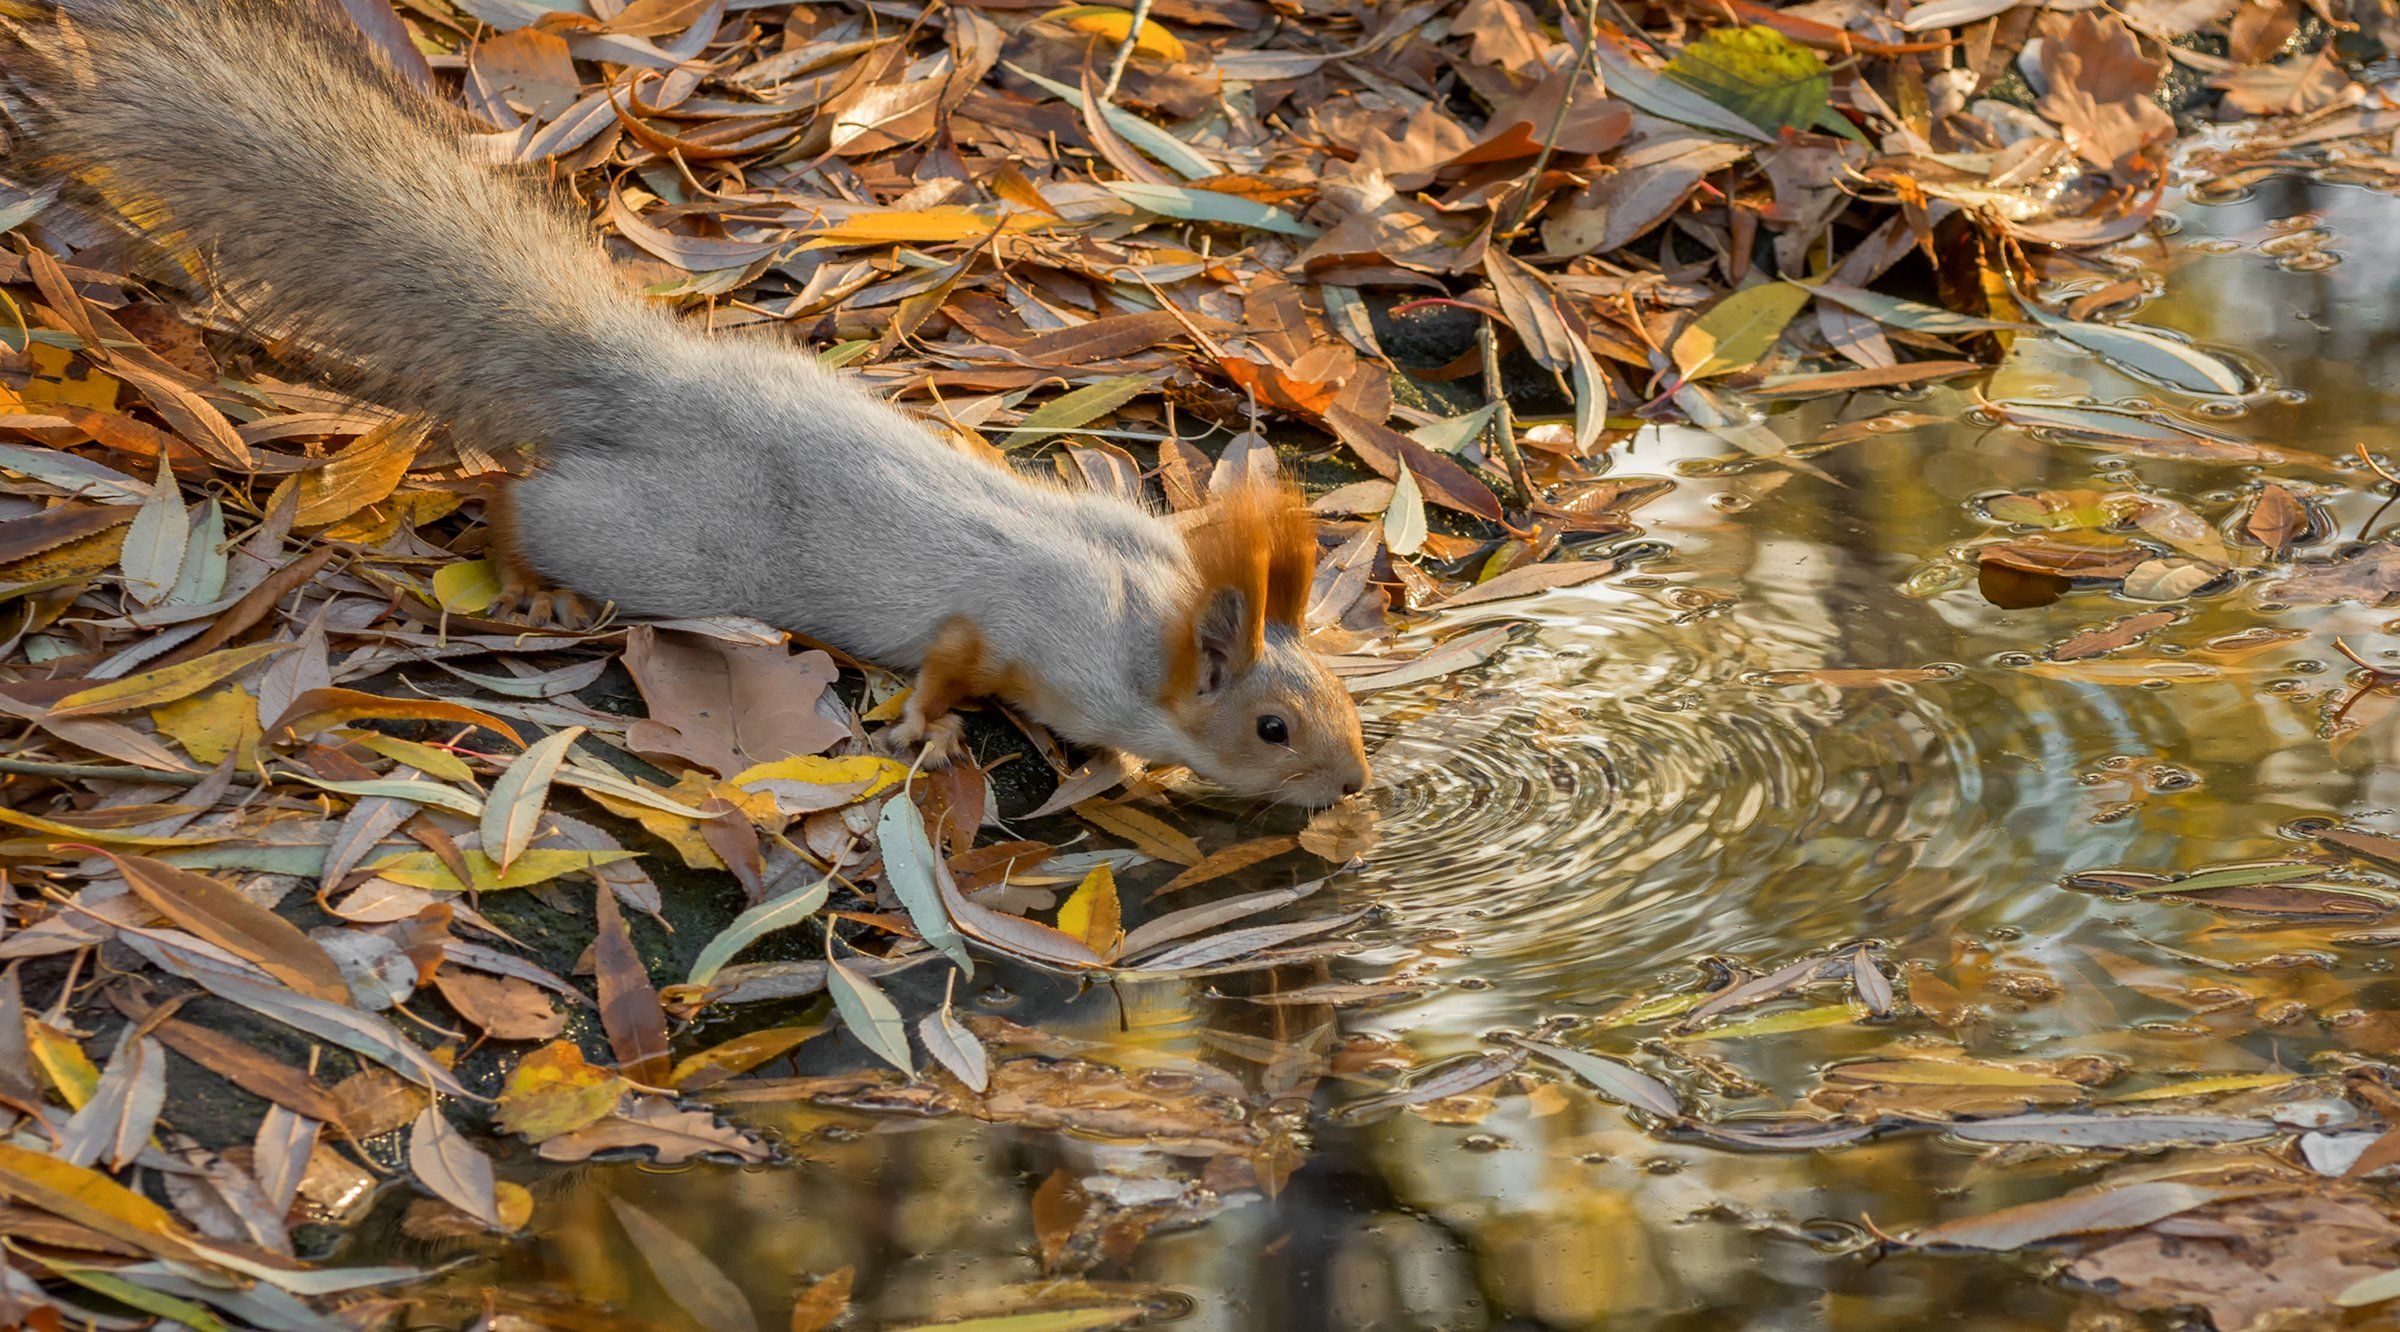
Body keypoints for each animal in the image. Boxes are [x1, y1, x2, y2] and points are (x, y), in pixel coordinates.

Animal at [0, 2, 1372, 801]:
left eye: (1342, 701)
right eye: (1271, 730)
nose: (1357, 788)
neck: (1154, 625)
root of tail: (644, 382)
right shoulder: (1019, 630)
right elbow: (953, 662)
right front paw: (928, 735)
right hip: (663, 544)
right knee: (527, 508)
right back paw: (534, 581)